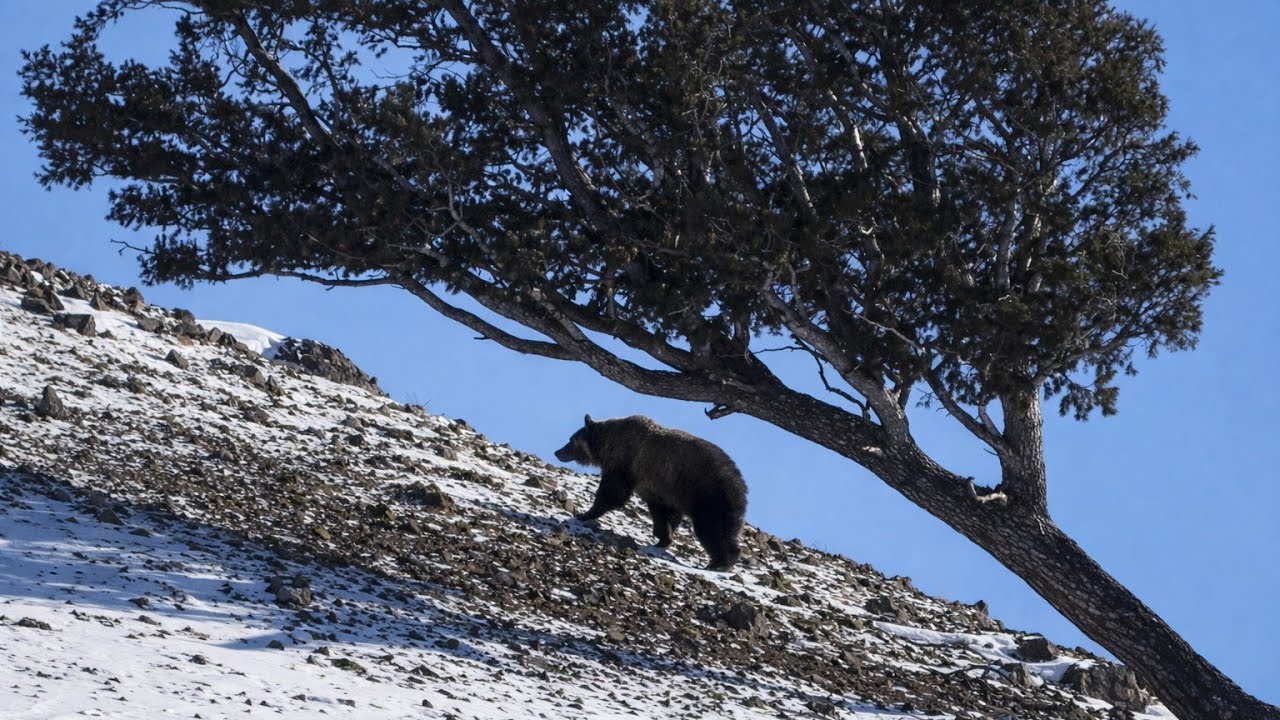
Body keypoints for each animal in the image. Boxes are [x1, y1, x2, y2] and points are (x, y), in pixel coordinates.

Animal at [554, 415, 747, 571]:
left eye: (571, 439)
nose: (557, 452)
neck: (608, 444)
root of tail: (741, 485)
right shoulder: (659, 487)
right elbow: (663, 513)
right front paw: (663, 538)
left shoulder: (627, 462)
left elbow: (612, 492)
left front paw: (584, 514)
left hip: (709, 496)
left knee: (711, 529)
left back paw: (722, 562)